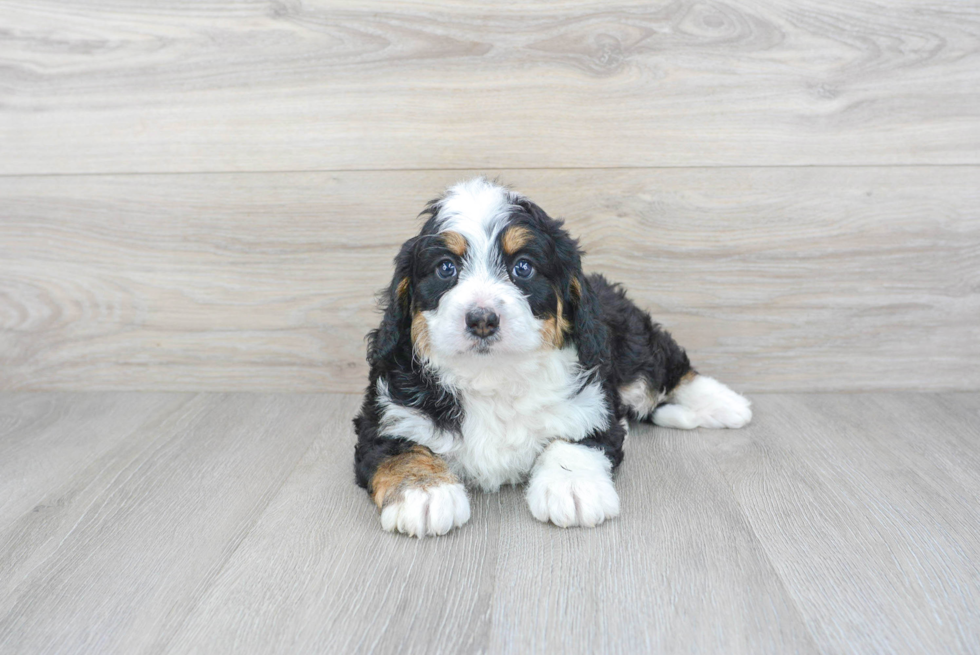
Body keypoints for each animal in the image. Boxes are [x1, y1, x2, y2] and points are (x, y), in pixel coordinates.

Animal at [352, 177, 752, 536]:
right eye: (446, 268)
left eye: (523, 267)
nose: (482, 319)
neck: (492, 375)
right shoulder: (386, 416)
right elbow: (401, 450)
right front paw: (425, 493)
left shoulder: (591, 401)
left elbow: (575, 438)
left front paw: (573, 487)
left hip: (633, 339)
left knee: (666, 369)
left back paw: (726, 404)